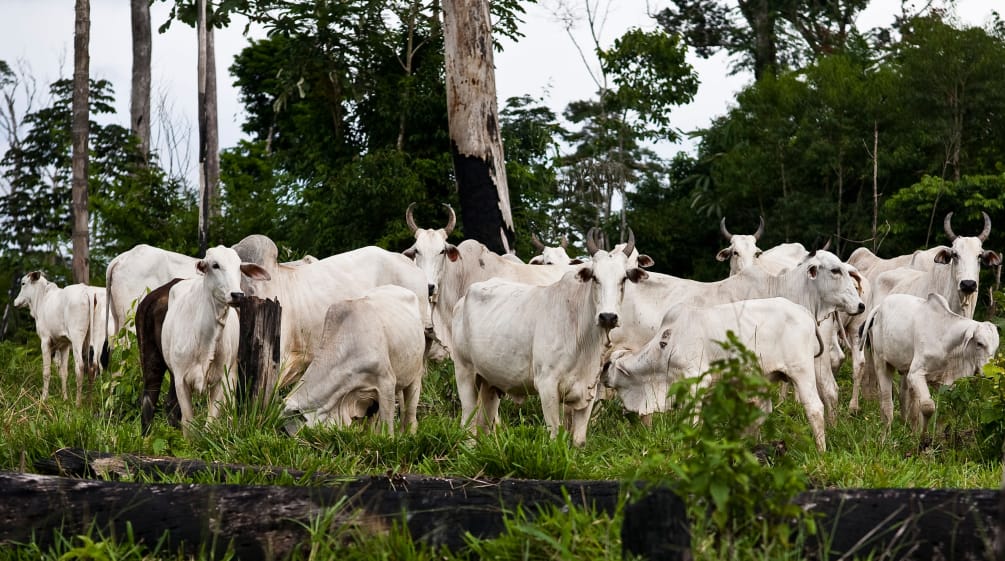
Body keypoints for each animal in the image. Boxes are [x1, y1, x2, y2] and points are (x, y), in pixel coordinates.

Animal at [13, 271, 105, 404]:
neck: (41, 300)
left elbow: (46, 372)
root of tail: (87, 291)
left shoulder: (45, 340)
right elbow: (63, 373)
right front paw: (64, 398)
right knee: (93, 366)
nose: (15, 302)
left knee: (80, 366)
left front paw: (43, 398)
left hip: (77, 337)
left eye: (23, 283)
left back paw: (78, 403)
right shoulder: (64, 345)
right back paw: (89, 402)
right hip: (96, 337)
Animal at [157, 246, 269, 436]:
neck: (205, 340)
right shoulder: (180, 380)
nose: (237, 294)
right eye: (215, 265)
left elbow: (211, 423)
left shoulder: (221, 380)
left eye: (239, 267)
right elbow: (188, 423)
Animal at [450, 230, 651, 448]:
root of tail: (462, 300)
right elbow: (555, 435)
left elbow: (579, 440)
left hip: (490, 382)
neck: (582, 338)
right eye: (595, 277)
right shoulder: (547, 386)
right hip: (464, 371)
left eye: (623, 279)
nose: (608, 317)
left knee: (484, 423)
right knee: (468, 421)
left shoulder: (588, 390)